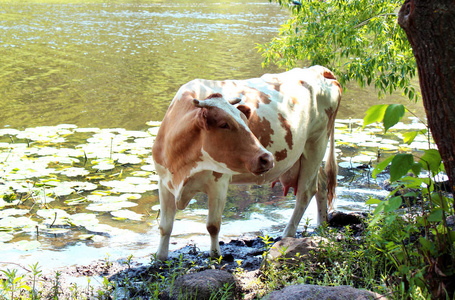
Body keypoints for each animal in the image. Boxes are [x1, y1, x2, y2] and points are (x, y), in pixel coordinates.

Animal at [153, 65, 342, 260]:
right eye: (224, 124)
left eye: (245, 120)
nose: (267, 158)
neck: (182, 168)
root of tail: (319, 70)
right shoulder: (164, 181)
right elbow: (165, 227)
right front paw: (160, 258)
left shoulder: (218, 183)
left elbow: (213, 225)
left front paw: (215, 255)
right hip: (306, 156)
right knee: (321, 183)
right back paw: (321, 225)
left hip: (316, 143)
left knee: (306, 192)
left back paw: (287, 235)